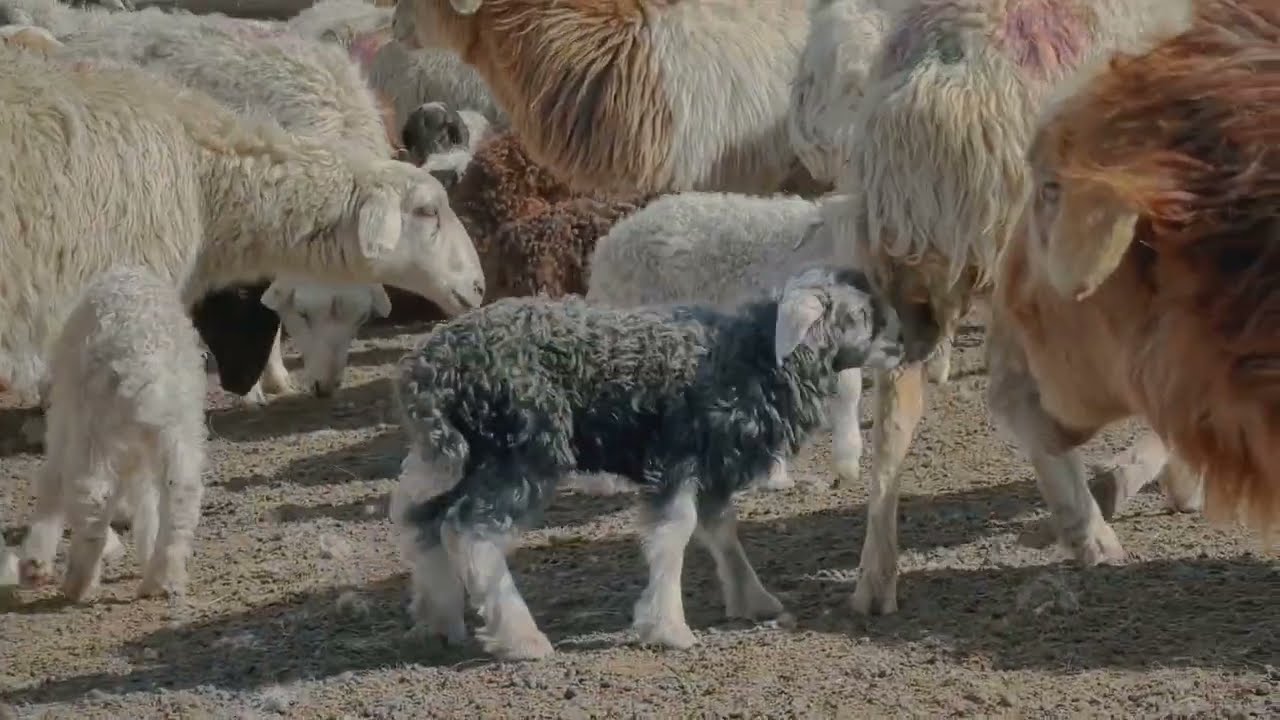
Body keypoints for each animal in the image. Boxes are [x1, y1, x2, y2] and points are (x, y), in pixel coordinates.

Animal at [15, 266, 206, 602]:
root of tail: (144, 368)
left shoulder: (64, 413)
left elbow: (52, 480)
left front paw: (35, 562)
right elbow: (145, 497)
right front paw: (148, 551)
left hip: (92, 426)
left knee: (92, 494)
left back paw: (79, 583)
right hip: (178, 428)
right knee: (181, 493)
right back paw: (162, 578)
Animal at [391, 266, 904, 659]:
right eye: (859, 316)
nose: (901, 347)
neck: (752, 358)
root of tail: (432, 369)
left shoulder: (714, 467)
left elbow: (722, 532)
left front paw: (753, 599)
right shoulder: (677, 460)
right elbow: (673, 534)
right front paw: (668, 628)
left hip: (467, 456)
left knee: (426, 522)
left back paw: (439, 620)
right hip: (521, 450)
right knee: (470, 532)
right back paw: (521, 638)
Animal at [832, 0, 1200, 616]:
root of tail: (936, 78)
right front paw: (1177, 480)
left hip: (901, 263)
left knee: (893, 417)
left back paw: (875, 578)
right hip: (1026, 256)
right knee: (1013, 394)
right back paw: (1089, 532)